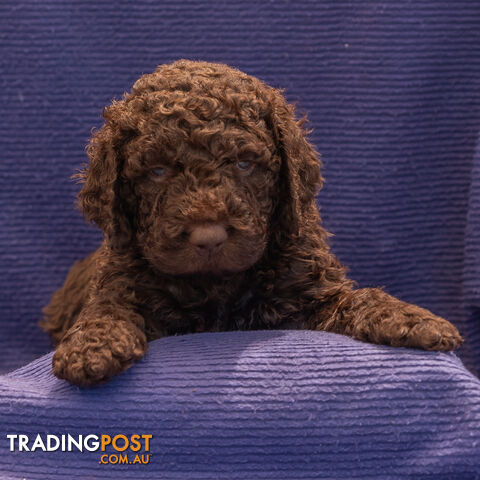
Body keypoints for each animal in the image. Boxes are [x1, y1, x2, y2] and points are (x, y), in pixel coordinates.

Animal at [40, 59, 462, 386]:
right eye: (157, 171)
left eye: (244, 164)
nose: (208, 237)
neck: (217, 287)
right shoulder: (123, 280)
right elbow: (107, 306)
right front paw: (91, 345)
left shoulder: (310, 292)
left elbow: (357, 298)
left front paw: (410, 318)